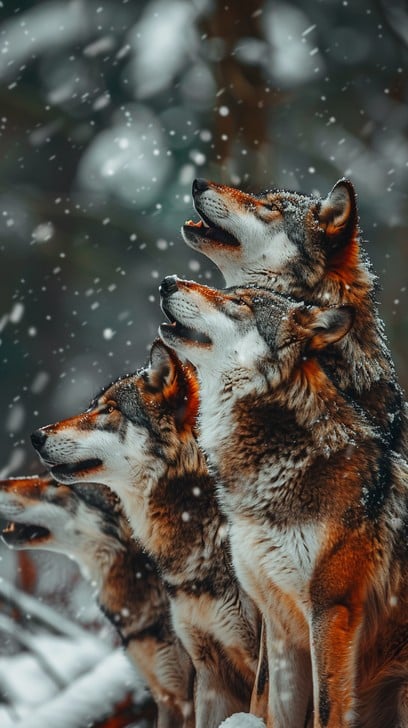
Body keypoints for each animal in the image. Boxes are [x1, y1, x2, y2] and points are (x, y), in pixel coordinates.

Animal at [159, 275, 408, 728]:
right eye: (231, 293)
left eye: (239, 303)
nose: (167, 282)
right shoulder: (275, 620)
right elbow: (271, 705)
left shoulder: (331, 609)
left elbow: (326, 709)